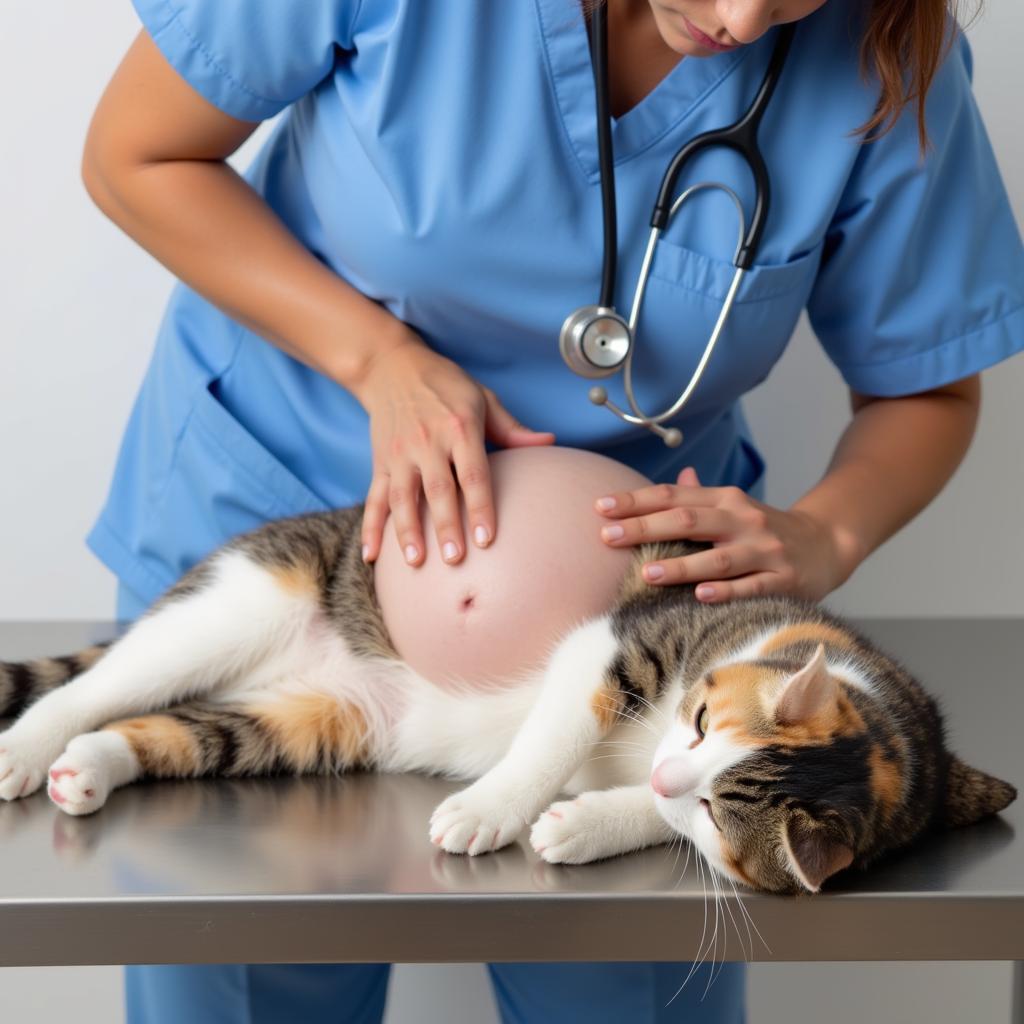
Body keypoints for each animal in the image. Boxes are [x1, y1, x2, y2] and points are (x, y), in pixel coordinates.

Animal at [0, 503, 1011, 888]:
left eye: (719, 813)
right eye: (696, 720)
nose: (664, 772)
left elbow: (657, 823)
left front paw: (587, 825)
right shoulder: (621, 638)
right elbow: (555, 733)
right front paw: (491, 811)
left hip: (315, 719)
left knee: (179, 728)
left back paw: (88, 770)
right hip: (246, 598)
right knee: (99, 682)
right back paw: (28, 747)